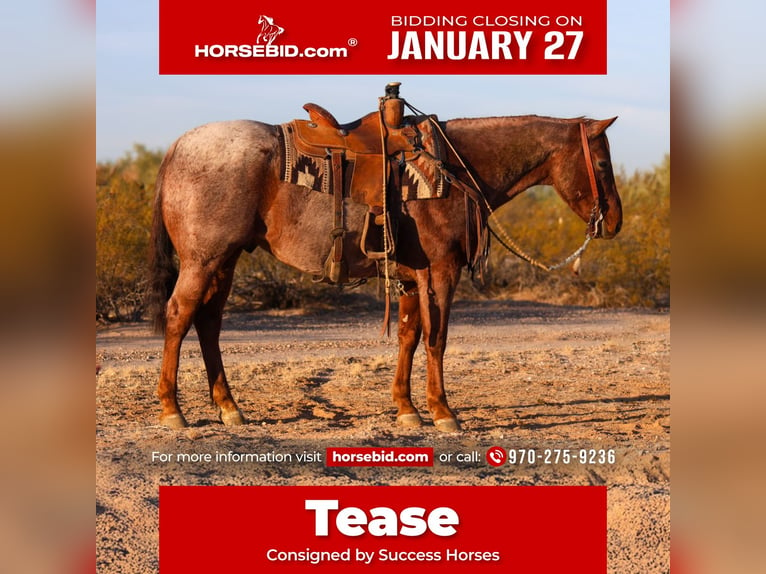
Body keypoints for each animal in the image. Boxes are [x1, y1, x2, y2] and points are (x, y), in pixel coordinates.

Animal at [146, 101, 624, 432]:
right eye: (602, 163)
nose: (615, 221)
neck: (453, 170)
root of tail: (178, 147)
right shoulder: (441, 273)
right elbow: (436, 340)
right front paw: (443, 412)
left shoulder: (412, 278)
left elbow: (409, 338)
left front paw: (407, 409)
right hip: (203, 260)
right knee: (179, 316)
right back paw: (172, 410)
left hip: (224, 262)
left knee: (208, 322)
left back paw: (229, 408)